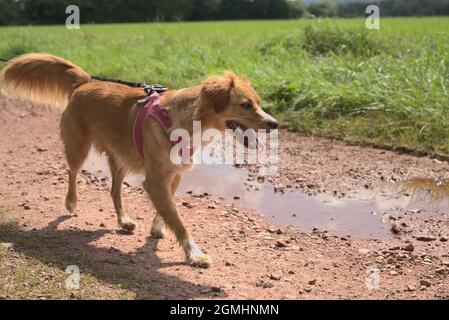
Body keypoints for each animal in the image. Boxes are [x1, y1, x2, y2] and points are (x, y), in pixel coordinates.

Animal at [0, 53, 278, 268]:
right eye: (245, 105)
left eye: (258, 103)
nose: (274, 124)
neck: (189, 120)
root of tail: (85, 83)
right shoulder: (155, 180)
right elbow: (179, 221)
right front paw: (194, 254)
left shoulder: (173, 176)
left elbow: (166, 210)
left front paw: (158, 228)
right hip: (78, 147)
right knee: (72, 171)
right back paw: (71, 201)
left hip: (120, 159)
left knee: (114, 190)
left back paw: (123, 220)